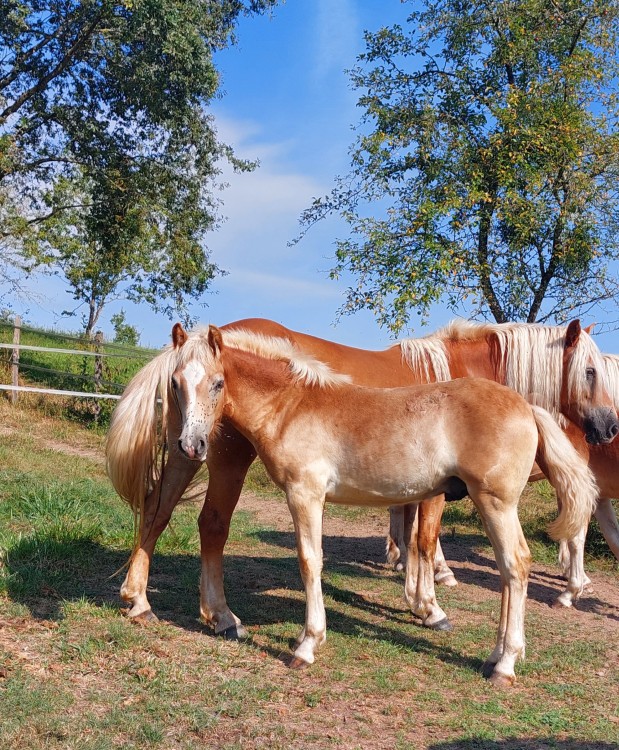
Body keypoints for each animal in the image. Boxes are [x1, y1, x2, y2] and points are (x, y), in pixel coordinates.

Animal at [104, 316, 616, 640]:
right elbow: (423, 541)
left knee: (157, 510)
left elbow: (410, 538)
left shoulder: (415, 485)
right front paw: (429, 606)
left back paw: (140, 601)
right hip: (222, 456)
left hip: (188, 454)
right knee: (210, 525)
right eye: (591, 371)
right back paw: (221, 615)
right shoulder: (433, 492)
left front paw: (418, 597)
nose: (609, 428)